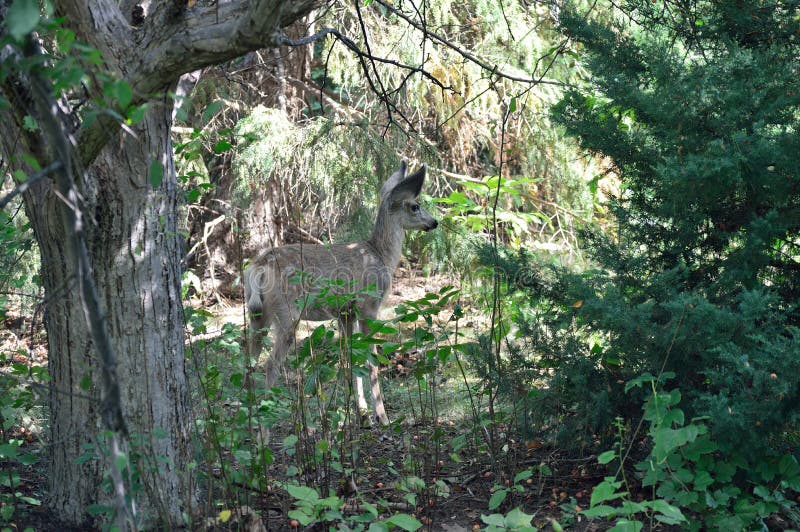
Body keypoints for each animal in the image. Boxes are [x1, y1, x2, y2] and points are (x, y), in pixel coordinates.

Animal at [247, 162, 440, 424]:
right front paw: (382, 417)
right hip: (286, 311)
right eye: (415, 206)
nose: (434, 222)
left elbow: (350, 358)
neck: (381, 255)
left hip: (257, 314)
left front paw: (360, 411)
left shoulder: (345, 312)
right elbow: (371, 361)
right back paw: (266, 423)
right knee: (269, 364)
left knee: (247, 361)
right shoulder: (368, 305)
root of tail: (258, 267)